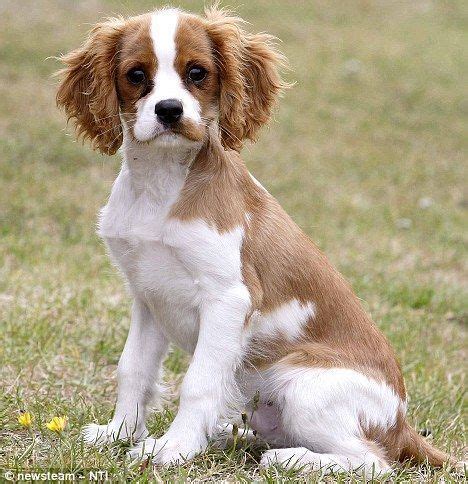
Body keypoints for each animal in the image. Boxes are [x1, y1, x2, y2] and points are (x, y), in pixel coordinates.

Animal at [57, 3, 458, 472]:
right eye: (136, 75)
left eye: (197, 72)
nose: (169, 110)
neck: (160, 183)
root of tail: (400, 422)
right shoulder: (147, 297)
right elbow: (133, 369)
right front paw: (119, 433)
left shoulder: (228, 298)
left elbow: (198, 382)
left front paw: (174, 448)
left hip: (303, 386)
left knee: (373, 461)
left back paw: (289, 458)